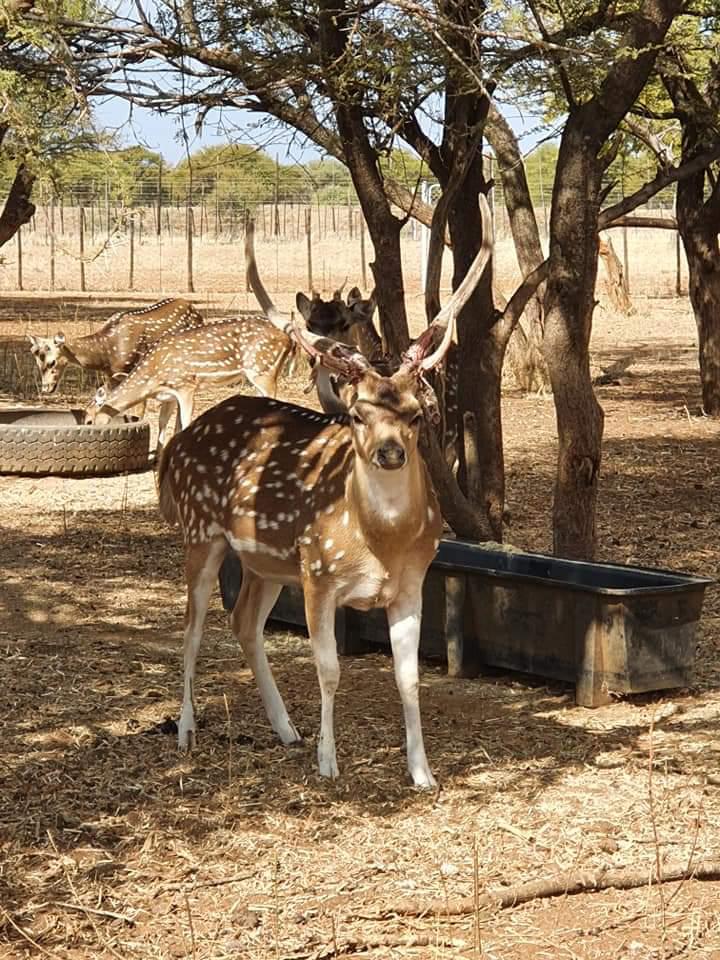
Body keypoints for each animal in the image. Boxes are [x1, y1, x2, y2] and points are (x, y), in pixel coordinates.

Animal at [28, 297, 204, 397]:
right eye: (37, 362)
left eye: (52, 362)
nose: (46, 388)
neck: (107, 355)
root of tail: (196, 311)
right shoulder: (111, 375)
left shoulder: (127, 370)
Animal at [84, 315, 295, 450]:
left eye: (88, 420)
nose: (93, 435)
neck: (152, 379)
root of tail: (289, 340)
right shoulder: (168, 395)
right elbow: (164, 422)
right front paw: (158, 455)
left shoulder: (185, 384)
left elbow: (185, 422)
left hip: (263, 370)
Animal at [156, 215, 491, 788]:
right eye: (358, 413)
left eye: (416, 413)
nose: (389, 451)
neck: (378, 543)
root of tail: (178, 443)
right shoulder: (318, 574)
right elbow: (330, 670)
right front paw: (328, 762)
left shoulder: (412, 582)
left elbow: (408, 678)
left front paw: (422, 772)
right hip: (201, 534)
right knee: (192, 628)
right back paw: (185, 730)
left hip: (266, 562)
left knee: (243, 621)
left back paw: (285, 728)